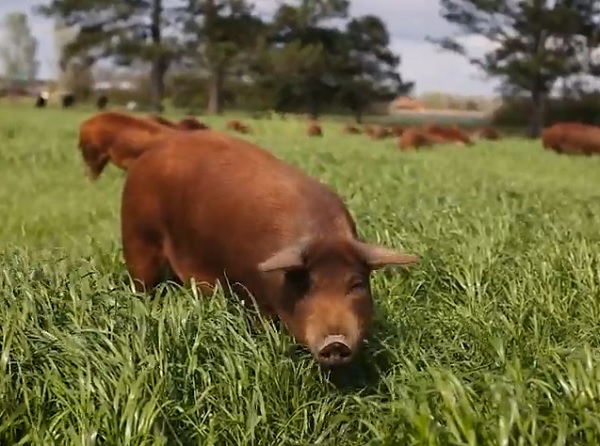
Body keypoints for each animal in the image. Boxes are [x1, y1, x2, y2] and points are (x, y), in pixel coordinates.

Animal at [122, 129, 420, 366]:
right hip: (137, 236)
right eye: (304, 284)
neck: (322, 236)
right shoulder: (251, 293)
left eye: (356, 284)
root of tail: (148, 155)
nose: (335, 342)